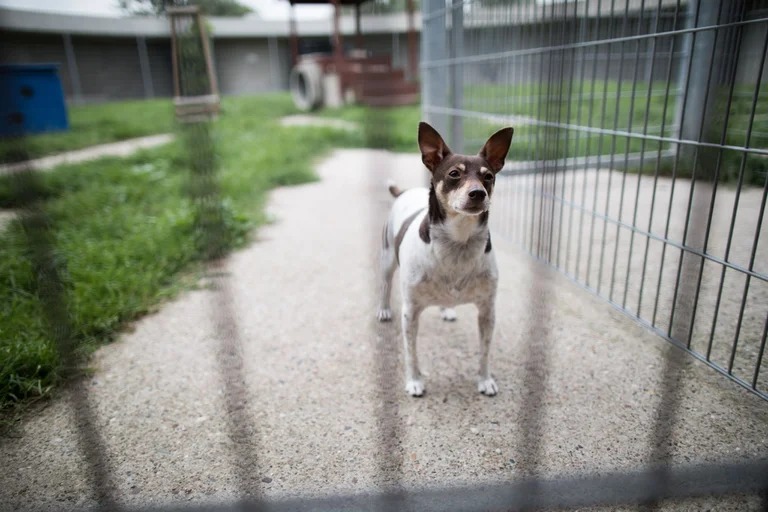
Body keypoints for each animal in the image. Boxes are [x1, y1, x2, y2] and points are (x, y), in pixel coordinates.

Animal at [376, 122, 512, 398]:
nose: (478, 193)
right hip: (386, 259)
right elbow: (411, 353)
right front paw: (414, 381)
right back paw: (384, 310)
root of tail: (406, 191)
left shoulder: (487, 311)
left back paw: (446, 309)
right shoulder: (410, 313)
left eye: (488, 177)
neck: (458, 243)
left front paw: (485, 380)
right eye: (454, 174)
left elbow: (484, 352)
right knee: (384, 284)